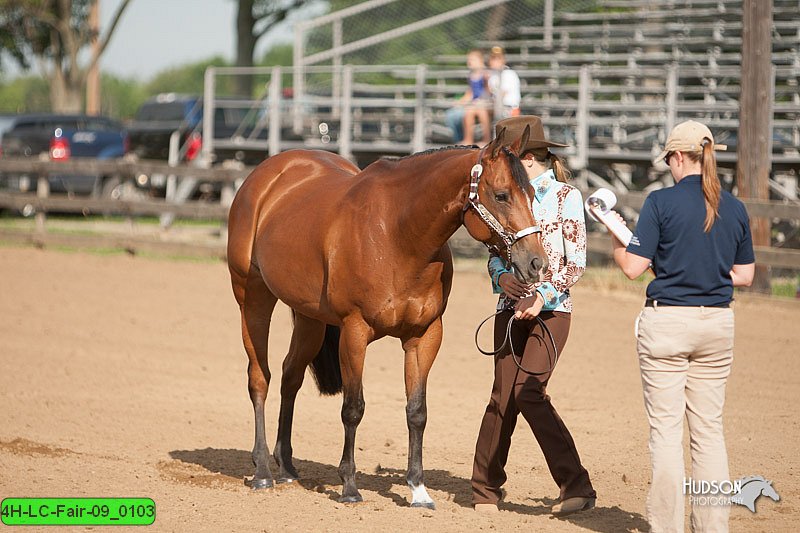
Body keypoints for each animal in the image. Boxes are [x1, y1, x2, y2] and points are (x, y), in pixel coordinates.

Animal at [227, 124, 552, 508]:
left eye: (532, 193)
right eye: (501, 195)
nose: (536, 263)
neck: (398, 235)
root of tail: (266, 175)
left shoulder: (424, 335)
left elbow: (417, 411)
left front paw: (418, 489)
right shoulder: (354, 331)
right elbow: (353, 408)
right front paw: (349, 487)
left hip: (310, 319)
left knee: (290, 376)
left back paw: (287, 465)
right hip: (253, 298)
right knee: (259, 378)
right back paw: (263, 470)